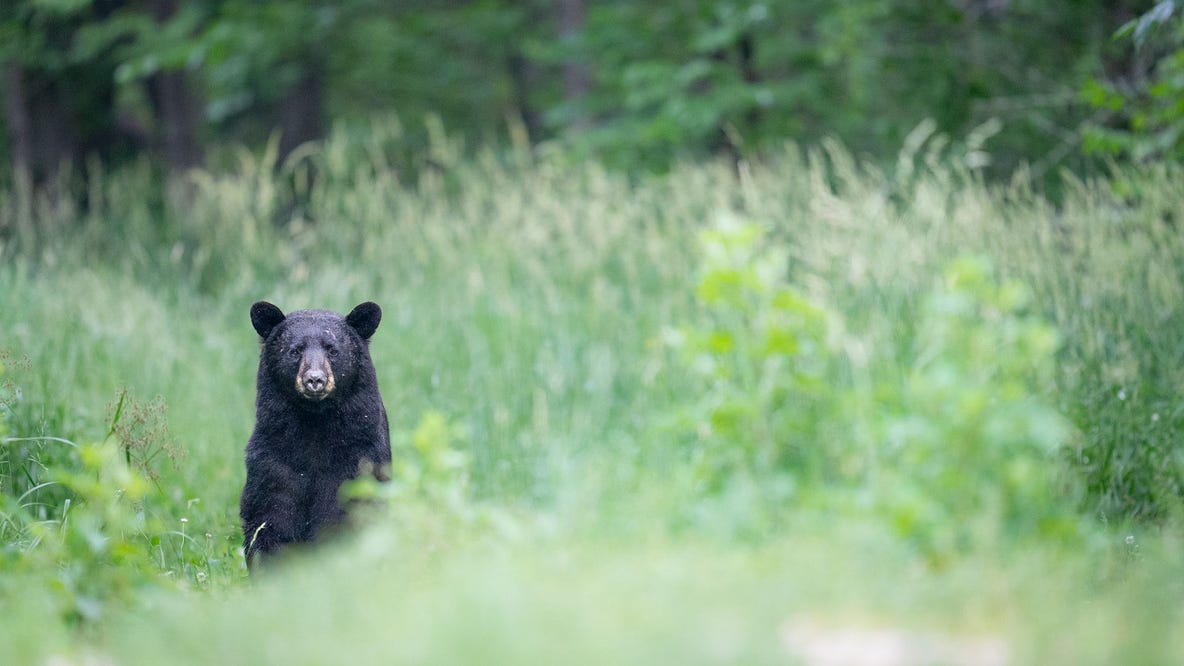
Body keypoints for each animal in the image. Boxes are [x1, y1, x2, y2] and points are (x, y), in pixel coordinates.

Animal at [239, 300, 391, 570]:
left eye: (333, 350)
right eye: (295, 351)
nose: (314, 380)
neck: (315, 425)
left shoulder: (359, 457)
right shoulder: (273, 458)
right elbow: (269, 517)